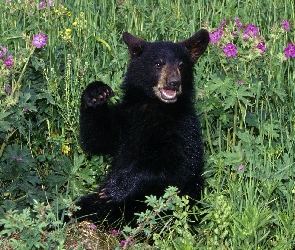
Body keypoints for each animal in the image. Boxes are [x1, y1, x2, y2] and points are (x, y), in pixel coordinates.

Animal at [75, 28, 212, 225]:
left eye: (181, 65)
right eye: (158, 63)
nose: (174, 82)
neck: (154, 105)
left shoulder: (184, 126)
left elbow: (180, 164)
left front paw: (118, 186)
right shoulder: (126, 119)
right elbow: (97, 138)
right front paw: (96, 93)